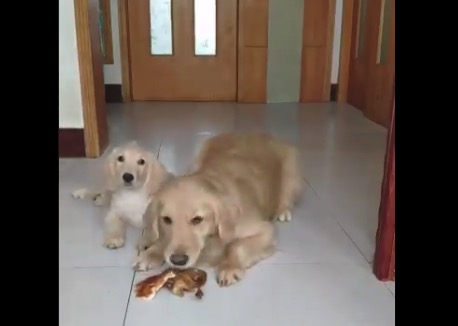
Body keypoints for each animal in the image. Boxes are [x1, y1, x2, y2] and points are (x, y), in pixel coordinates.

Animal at [132, 132, 304, 286]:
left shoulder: (265, 231)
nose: (178, 261)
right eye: (167, 219)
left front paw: (229, 267)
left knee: (287, 197)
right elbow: (164, 241)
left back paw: (283, 211)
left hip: (291, 170)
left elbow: (237, 246)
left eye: (197, 220)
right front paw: (151, 253)